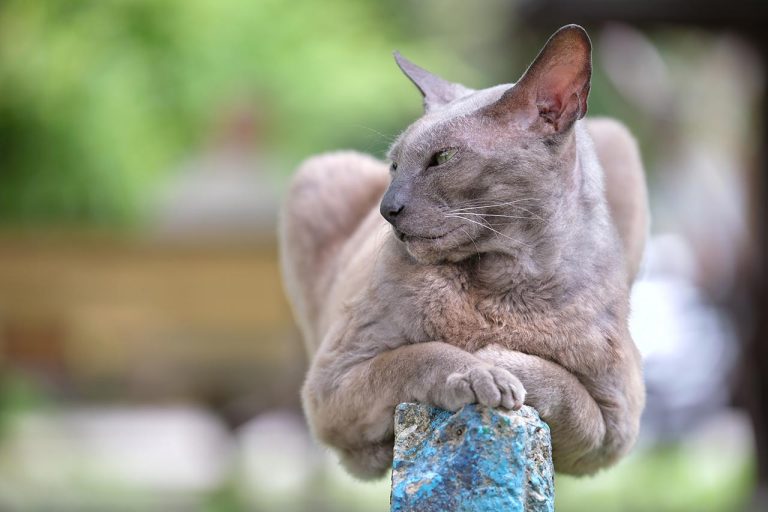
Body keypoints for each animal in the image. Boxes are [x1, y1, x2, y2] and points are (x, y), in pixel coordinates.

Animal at [280, 24, 644, 478]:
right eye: (394, 165)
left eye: (443, 158)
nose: (388, 208)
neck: (506, 281)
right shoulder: (331, 383)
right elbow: (422, 354)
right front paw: (479, 374)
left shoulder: (612, 429)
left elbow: (563, 386)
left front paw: (496, 362)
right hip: (317, 177)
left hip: (621, 143)